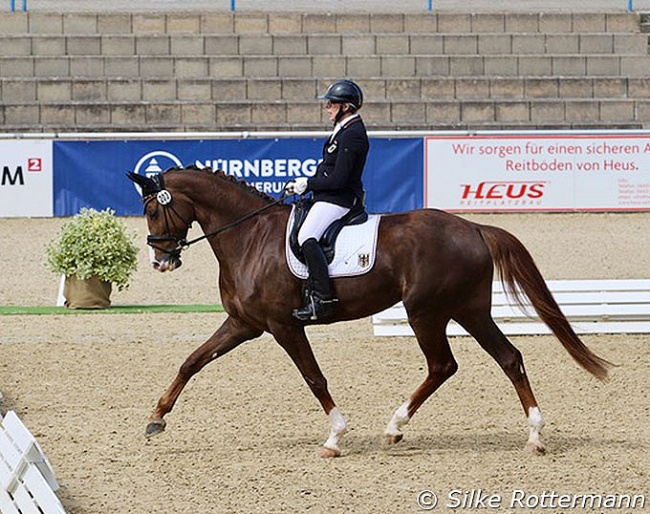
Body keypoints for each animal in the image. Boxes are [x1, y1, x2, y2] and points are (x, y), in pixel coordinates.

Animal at [128, 167, 608, 456]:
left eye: (152, 209)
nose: (160, 262)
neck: (250, 236)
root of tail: (472, 226)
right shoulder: (244, 324)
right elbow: (192, 362)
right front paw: (155, 419)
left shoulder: (283, 326)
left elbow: (314, 378)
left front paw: (335, 437)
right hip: (469, 310)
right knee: (508, 358)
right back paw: (533, 435)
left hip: (426, 312)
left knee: (444, 365)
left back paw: (397, 425)